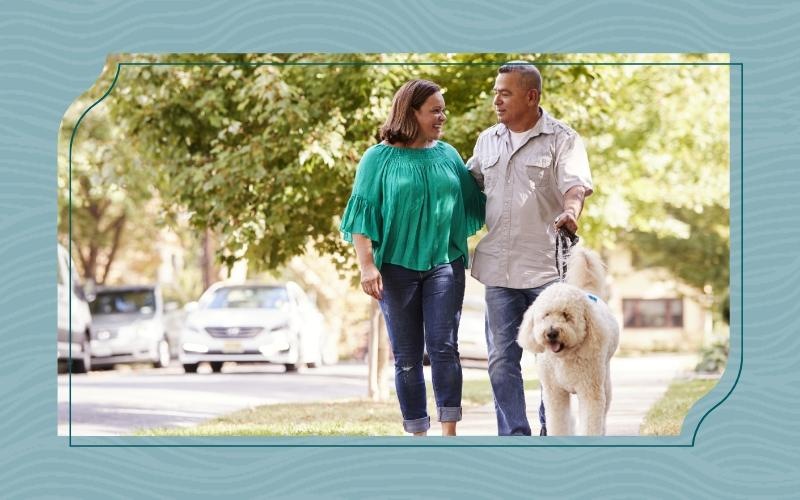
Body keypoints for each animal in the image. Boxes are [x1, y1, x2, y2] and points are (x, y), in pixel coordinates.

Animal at [516, 247, 620, 438]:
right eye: (546, 315)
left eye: (566, 315)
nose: (551, 333)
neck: (564, 357)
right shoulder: (555, 394)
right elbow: (559, 422)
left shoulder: (590, 392)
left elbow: (590, 423)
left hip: (605, 383)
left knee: (603, 413)